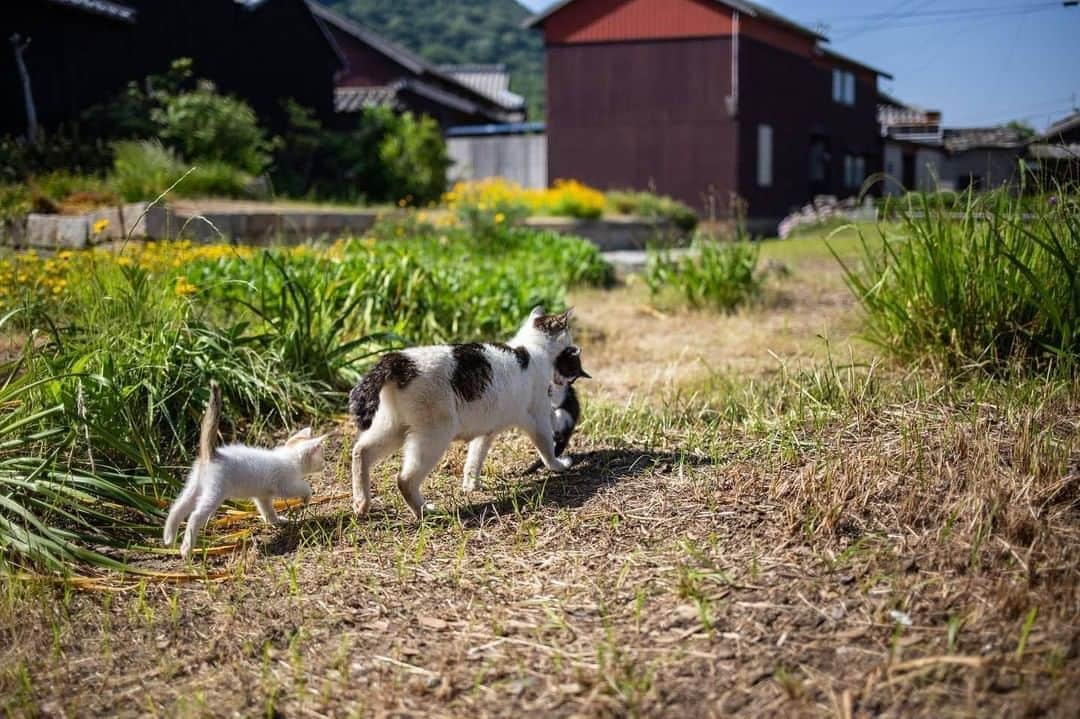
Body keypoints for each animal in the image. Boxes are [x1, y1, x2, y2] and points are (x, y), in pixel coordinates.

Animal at [162, 380, 326, 561]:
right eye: (321, 457)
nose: (325, 463)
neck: (289, 457)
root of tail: (213, 454)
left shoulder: (262, 496)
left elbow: (267, 510)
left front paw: (276, 521)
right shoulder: (285, 485)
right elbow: (304, 487)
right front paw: (307, 498)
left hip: (195, 486)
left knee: (176, 508)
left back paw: (169, 537)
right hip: (215, 492)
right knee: (194, 516)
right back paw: (186, 549)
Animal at [349, 302, 578, 516]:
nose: (575, 349)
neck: (531, 347)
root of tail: (399, 361)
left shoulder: (487, 431)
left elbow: (475, 458)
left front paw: (471, 485)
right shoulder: (539, 418)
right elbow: (547, 449)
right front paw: (559, 465)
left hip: (394, 427)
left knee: (361, 451)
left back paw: (361, 503)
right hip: (434, 434)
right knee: (404, 479)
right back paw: (424, 512)